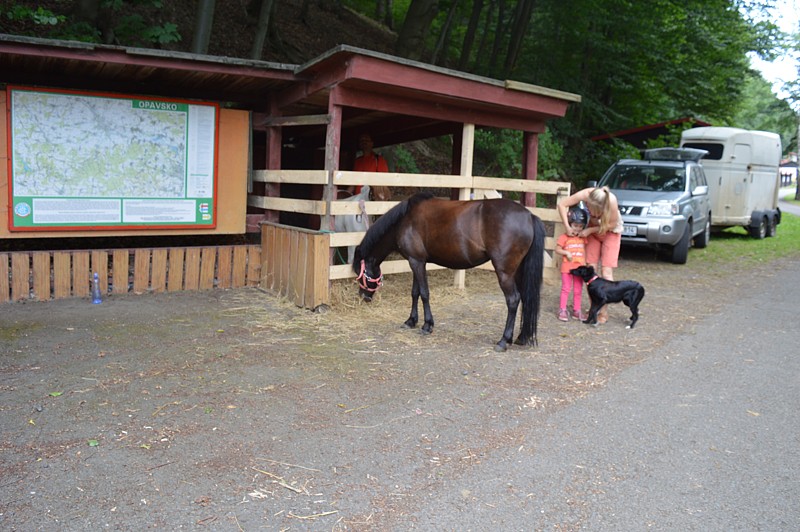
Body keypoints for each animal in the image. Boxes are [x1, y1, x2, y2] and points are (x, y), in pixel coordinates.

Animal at [354, 191, 548, 350]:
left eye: (360, 274)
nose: (364, 297)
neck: (405, 219)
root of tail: (529, 216)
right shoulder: (417, 261)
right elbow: (415, 292)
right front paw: (411, 321)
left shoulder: (416, 262)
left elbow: (424, 293)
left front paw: (427, 325)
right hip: (519, 271)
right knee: (526, 298)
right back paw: (521, 337)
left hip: (505, 273)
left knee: (513, 300)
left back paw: (503, 341)